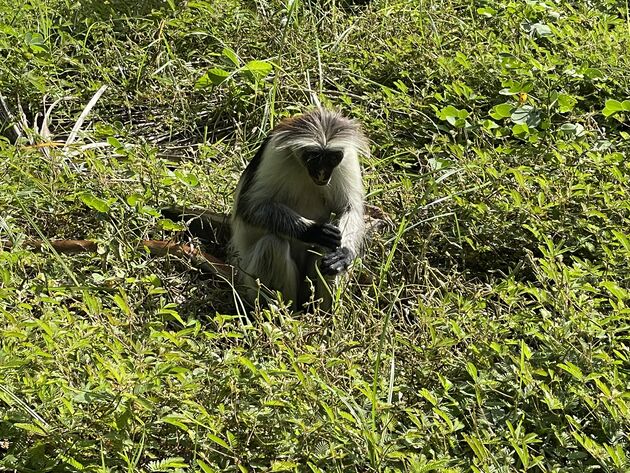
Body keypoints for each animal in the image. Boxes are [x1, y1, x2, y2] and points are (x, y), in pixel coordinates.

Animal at [232, 109, 370, 312]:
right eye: (313, 157)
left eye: (332, 158)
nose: (322, 174)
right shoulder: (275, 152)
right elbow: (250, 207)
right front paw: (313, 230)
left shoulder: (347, 156)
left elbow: (349, 208)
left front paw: (344, 252)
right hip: (249, 281)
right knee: (272, 246)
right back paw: (287, 312)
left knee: (330, 244)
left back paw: (324, 314)